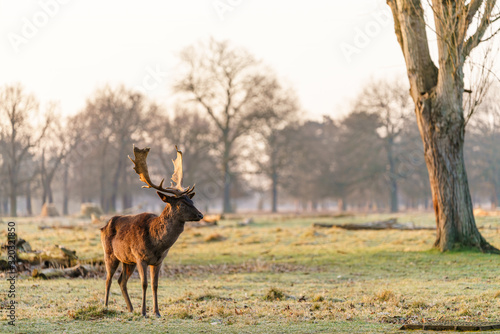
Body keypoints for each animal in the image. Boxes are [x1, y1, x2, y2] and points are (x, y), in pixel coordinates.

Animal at [99, 145, 203, 316]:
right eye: (181, 204)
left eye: (192, 200)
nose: (201, 215)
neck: (157, 244)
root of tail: (103, 227)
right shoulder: (140, 257)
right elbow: (144, 284)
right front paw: (144, 312)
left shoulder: (158, 261)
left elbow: (155, 285)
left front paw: (156, 312)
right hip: (110, 254)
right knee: (108, 279)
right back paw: (106, 306)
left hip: (128, 260)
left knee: (121, 280)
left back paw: (130, 308)